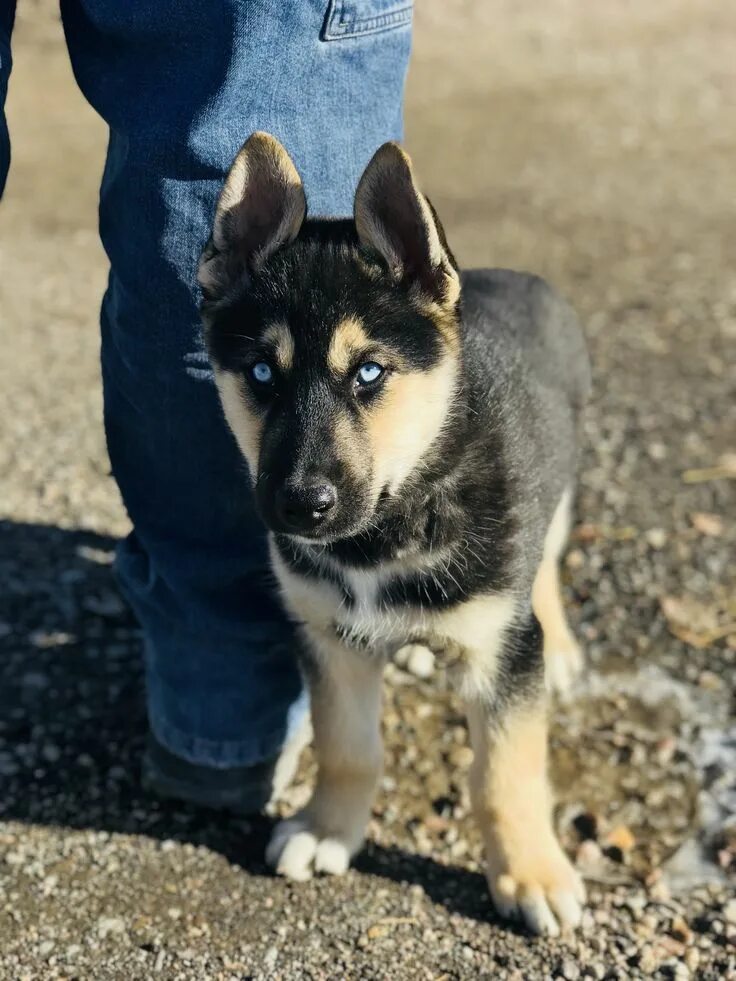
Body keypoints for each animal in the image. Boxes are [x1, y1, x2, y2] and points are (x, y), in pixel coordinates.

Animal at [197, 132, 592, 936]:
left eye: (370, 372)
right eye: (261, 373)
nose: (302, 506)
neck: (393, 521)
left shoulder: (504, 653)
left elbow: (505, 773)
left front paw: (531, 875)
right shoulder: (326, 635)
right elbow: (348, 747)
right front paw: (329, 830)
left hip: (559, 487)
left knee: (544, 566)